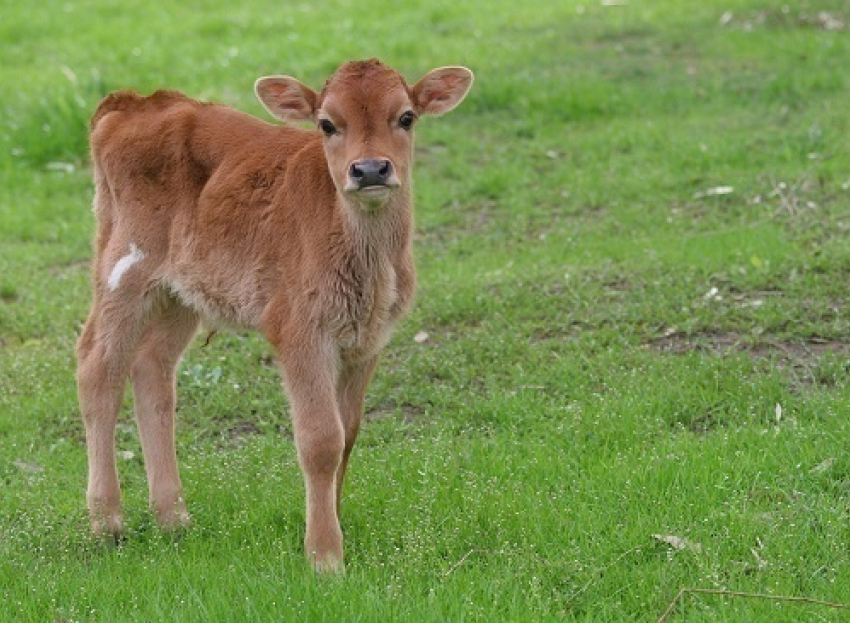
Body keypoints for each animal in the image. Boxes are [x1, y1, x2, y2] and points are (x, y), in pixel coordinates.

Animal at [76, 61, 474, 572]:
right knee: (97, 367)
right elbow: (321, 440)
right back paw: (108, 523)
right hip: (124, 270)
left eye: (406, 117)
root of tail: (134, 103)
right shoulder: (299, 331)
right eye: (327, 124)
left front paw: (333, 526)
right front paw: (325, 556)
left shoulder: (368, 340)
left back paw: (173, 518)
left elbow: (348, 433)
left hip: (179, 293)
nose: (369, 169)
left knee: (152, 369)